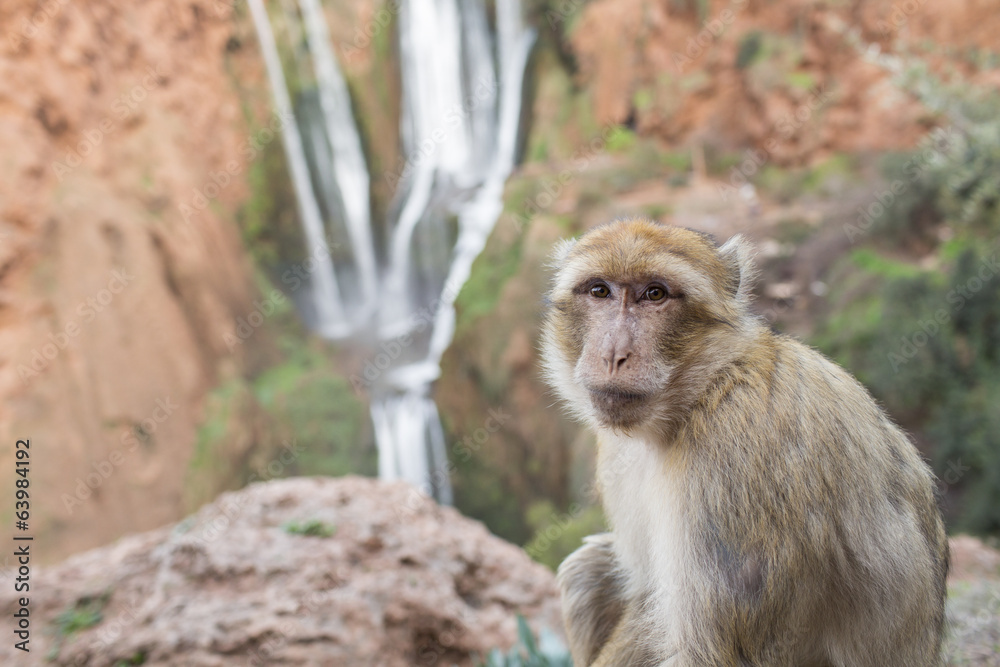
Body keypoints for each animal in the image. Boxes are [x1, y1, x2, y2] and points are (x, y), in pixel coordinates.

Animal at [540, 218, 948, 667]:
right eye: (600, 291)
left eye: (655, 294)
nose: (614, 354)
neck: (702, 390)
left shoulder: (732, 453)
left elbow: (707, 652)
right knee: (587, 568)